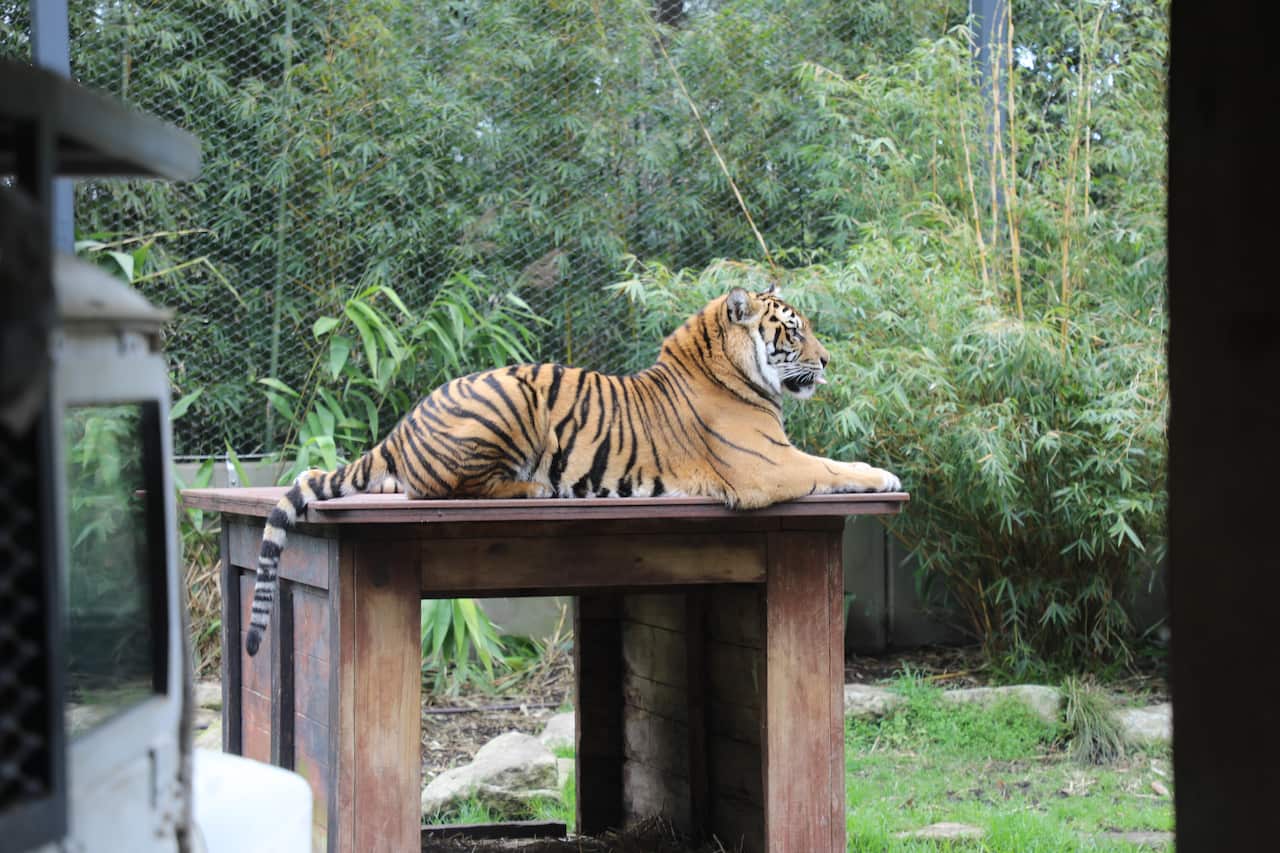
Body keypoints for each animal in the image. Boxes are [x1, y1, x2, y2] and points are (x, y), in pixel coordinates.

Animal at [245, 285, 900, 655]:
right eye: (793, 330)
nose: (828, 360)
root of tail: (404, 424)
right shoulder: (767, 467)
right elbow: (829, 466)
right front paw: (885, 477)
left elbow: (831, 460)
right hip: (512, 398)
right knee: (441, 489)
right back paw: (532, 486)